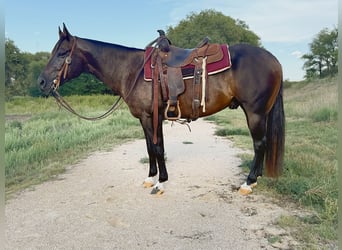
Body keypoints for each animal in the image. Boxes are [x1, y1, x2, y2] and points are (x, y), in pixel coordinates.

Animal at [37, 23, 284, 195]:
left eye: (62, 53)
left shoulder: (149, 117)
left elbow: (155, 147)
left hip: (255, 113)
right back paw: (257, 177)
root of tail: (274, 61)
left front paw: (160, 184)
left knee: (260, 144)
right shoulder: (149, 118)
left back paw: (248, 183)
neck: (131, 70)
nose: (41, 82)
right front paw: (151, 178)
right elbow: (152, 147)